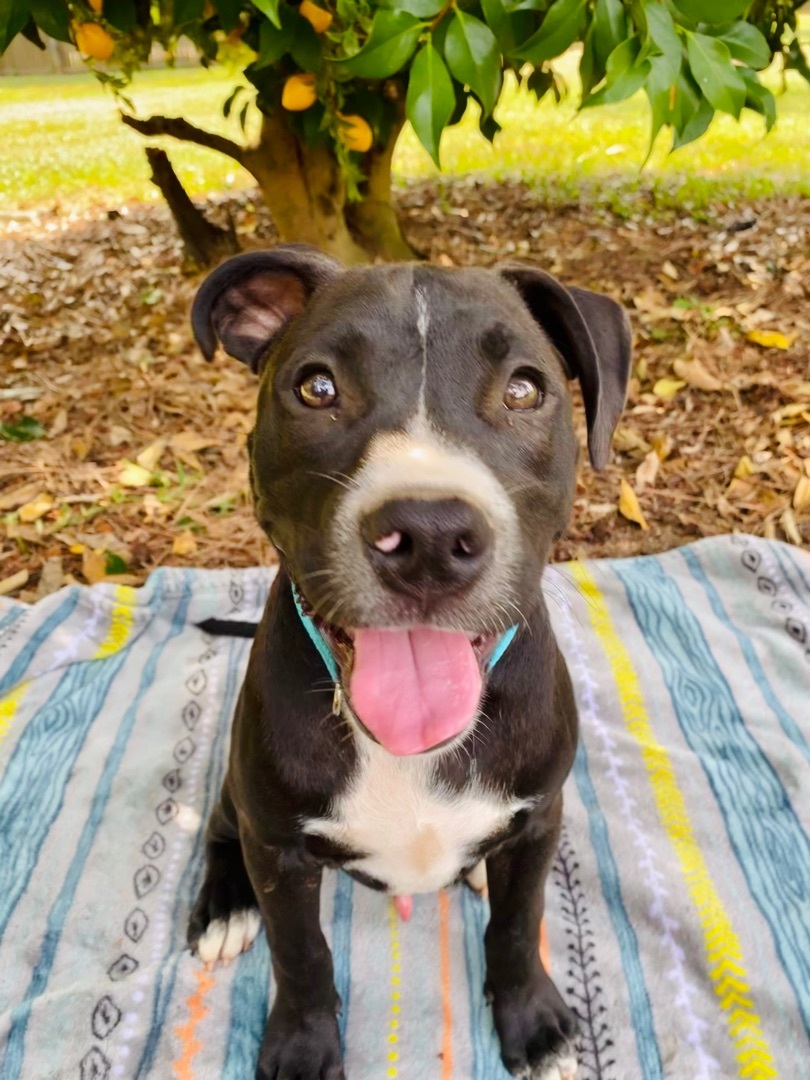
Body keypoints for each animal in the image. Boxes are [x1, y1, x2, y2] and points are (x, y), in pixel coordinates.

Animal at [186, 245, 630, 1080]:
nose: (428, 535)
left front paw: (531, 1022)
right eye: (316, 387)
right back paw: (225, 906)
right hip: (239, 791)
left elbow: (518, 925)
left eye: (525, 388)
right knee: (222, 829)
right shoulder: (280, 845)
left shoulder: (539, 817)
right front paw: (303, 1046)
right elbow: (302, 955)